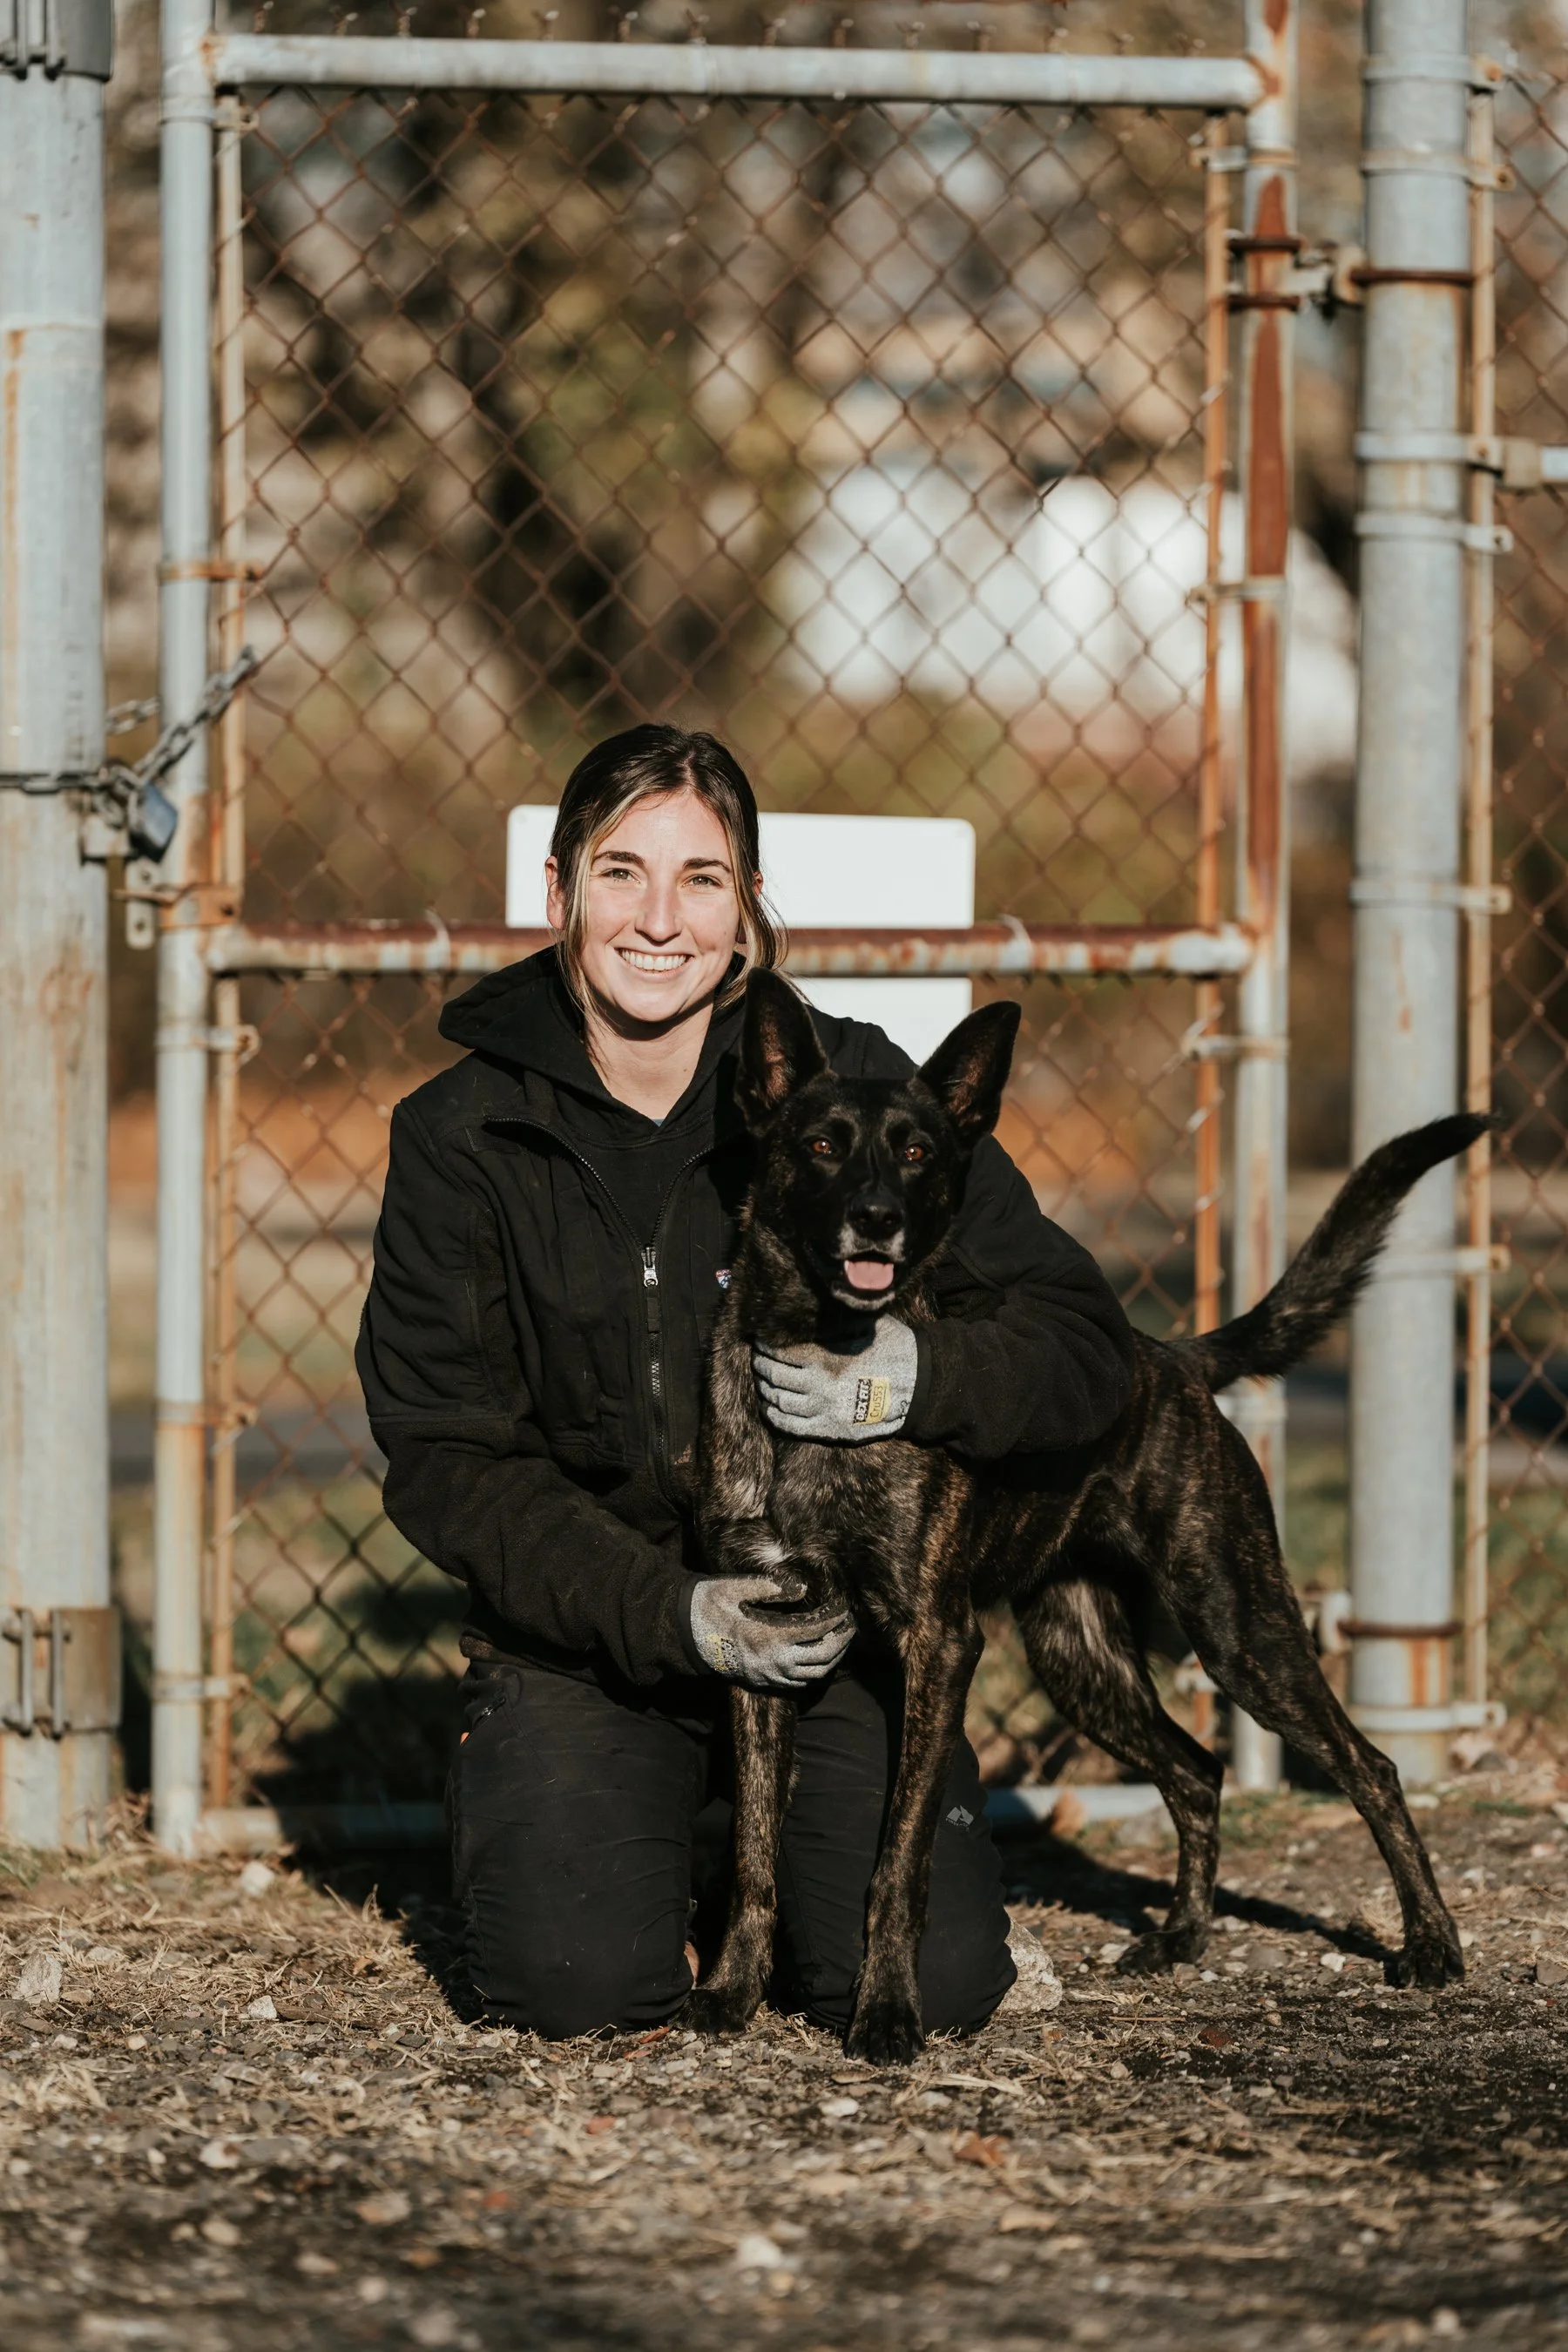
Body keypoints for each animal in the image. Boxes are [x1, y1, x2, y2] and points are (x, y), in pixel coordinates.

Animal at [686, 969, 1479, 2064]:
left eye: (917, 1152)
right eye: (821, 1145)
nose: (879, 1219)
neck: (824, 1357)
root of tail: (1174, 1356)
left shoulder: (939, 1645)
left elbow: (898, 1860)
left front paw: (886, 2009)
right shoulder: (762, 1640)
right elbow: (755, 1850)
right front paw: (731, 1990)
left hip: (1240, 1627)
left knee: (1372, 1766)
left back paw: (1432, 1945)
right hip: (1079, 1655)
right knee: (1196, 1770)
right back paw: (1183, 1937)